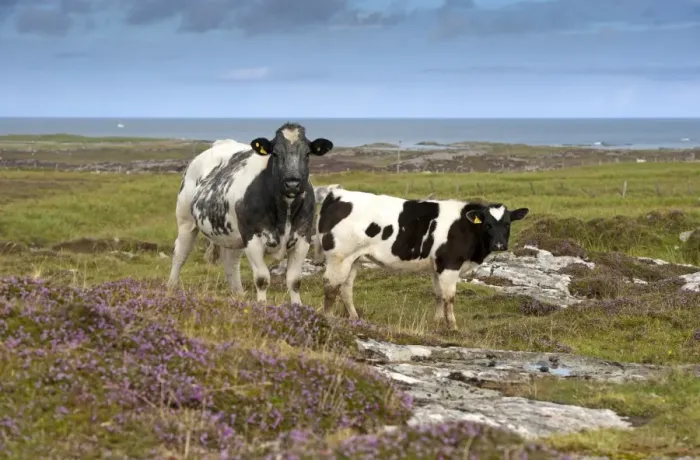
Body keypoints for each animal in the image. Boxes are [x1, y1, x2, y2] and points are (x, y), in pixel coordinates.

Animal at [167, 123, 334, 305]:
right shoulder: (252, 238)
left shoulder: (303, 238)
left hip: (233, 233)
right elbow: (262, 279)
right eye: (275, 153)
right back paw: (171, 288)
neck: (284, 213)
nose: (292, 183)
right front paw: (261, 306)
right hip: (186, 220)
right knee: (180, 253)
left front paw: (297, 307)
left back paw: (239, 295)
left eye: (307, 153)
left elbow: (294, 280)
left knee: (231, 262)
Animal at [316, 189, 529, 330]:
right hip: (339, 256)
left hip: (353, 259)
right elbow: (449, 297)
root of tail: (337, 194)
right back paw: (329, 319)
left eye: (508, 224)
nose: (500, 245)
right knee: (331, 287)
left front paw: (436, 323)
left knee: (345, 288)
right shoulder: (450, 264)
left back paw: (355, 318)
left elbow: (438, 295)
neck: (465, 227)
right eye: (487, 224)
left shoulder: (437, 266)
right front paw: (452, 327)